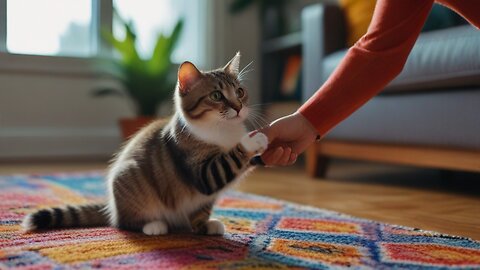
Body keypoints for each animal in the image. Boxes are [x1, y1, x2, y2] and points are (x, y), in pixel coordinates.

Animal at [22, 52, 268, 234]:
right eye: (217, 95)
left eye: (240, 92)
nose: (239, 107)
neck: (222, 130)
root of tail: (111, 207)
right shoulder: (200, 170)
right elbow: (225, 164)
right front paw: (254, 140)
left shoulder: (205, 197)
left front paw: (204, 225)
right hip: (130, 181)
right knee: (123, 223)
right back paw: (153, 225)